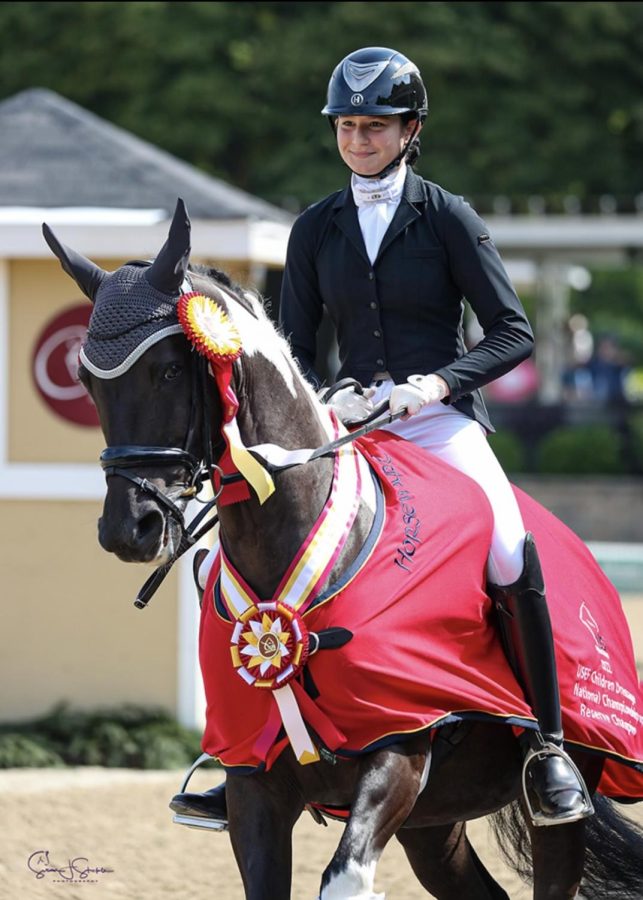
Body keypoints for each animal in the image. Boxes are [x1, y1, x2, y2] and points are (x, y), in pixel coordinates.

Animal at [44, 200, 643, 896]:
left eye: (168, 369)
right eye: (87, 381)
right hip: (434, 825)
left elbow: (344, 877)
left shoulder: (400, 742)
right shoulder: (254, 786)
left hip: (558, 799)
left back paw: (553, 775)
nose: (128, 529)